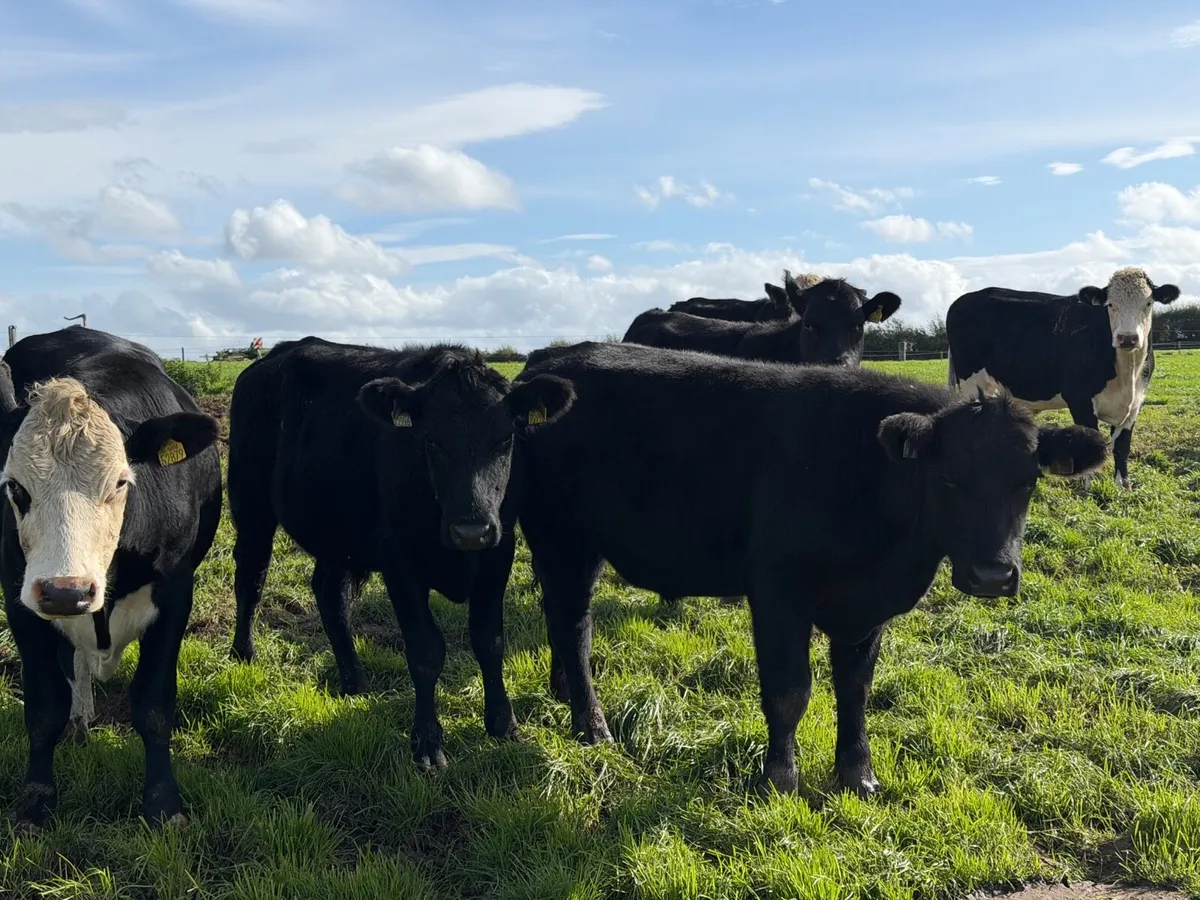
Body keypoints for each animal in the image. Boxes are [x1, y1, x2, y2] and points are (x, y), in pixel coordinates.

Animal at [0, 326, 222, 830]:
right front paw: (36, 801)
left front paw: (163, 804)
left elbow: (154, 707)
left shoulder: (176, 595)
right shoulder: (20, 598)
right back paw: (80, 718)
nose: (66, 591)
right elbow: (44, 708)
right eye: (15, 487)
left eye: (121, 482)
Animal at [226, 337, 574, 770]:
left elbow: (489, 641)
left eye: (505, 440)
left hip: (336, 530)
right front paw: (427, 742)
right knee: (251, 579)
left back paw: (354, 680)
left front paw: (502, 723)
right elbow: (425, 652)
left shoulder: (498, 555)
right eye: (431, 440)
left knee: (329, 594)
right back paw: (243, 654)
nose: (471, 531)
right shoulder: (400, 565)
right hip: (250, 506)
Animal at [514, 341, 1107, 797]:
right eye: (949, 478)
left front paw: (858, 776)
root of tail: (552, 357)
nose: (992, 576)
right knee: (574, 624)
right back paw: (592, 727)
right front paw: (779, 779)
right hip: (562, 538)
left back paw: (563, 693)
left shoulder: (867, 610)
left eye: (1028, 480)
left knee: (562, 621)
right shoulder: (777, 589)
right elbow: (789, 690)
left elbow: (855, 689)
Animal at [946, 266, 1181, 488]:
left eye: (1148, 303)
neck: (1127, 375)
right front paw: (1090, 486)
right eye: (1110, 305)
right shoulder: (1080, 400)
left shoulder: (1135, 404)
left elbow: (1122, 447)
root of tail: (964, 299)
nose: (1127, 338)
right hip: (971, 384)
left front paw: (1123, 485)